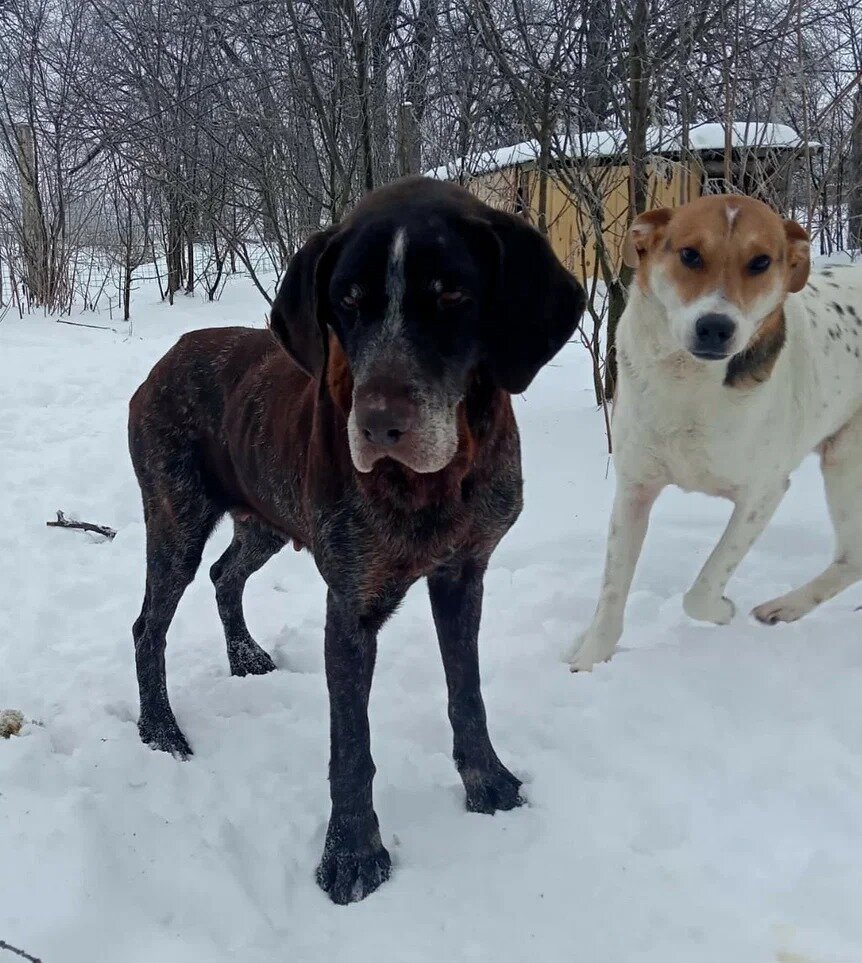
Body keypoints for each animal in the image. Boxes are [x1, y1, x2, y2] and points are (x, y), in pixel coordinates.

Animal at [128, 175, 588, 904]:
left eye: (451, 294)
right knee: (149, 625)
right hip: (176, 520)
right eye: (346, 301)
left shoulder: (463, 575)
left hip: (263, 519)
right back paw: (161, 729)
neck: (434, 482)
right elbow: (352, 747)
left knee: (226, 575)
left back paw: (244, 654)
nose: (376, 426)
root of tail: (161, 363)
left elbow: (468, 696)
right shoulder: (351, 606)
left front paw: (487, 784)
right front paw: (351, 851)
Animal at [572, 190, 862, 672]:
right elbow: (612, 590)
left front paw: (721, 609)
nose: (714, 326)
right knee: (852, 556)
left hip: (846, 462)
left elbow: (703, 586)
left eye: (761, 262)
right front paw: (590, 657)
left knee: (853, 555)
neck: (688, 382)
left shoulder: (762, 494)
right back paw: (785, 608)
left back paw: (784, 605)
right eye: (690, 254)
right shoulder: (634, 488)